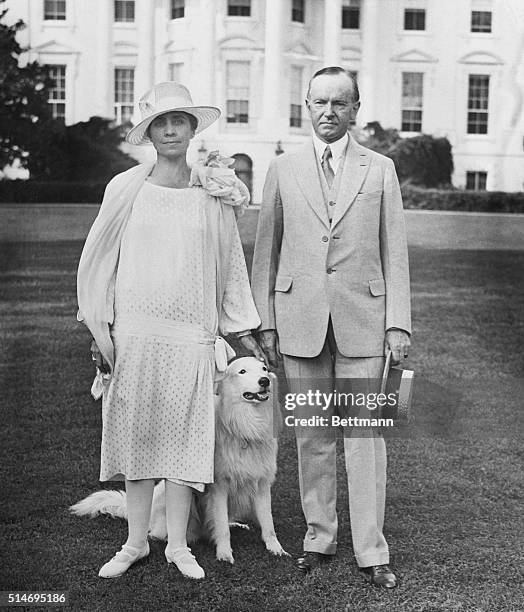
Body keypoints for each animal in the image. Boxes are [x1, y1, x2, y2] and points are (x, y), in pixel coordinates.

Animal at [69, 358, 286, 564]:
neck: (246, 426)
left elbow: (268, 524)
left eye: (264, 369)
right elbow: (222, 526)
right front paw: (224, 554)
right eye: (242, 371)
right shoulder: (219, 488)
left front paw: (276, 549)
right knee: (162, 533)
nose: (264, 381)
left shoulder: (262, 485)